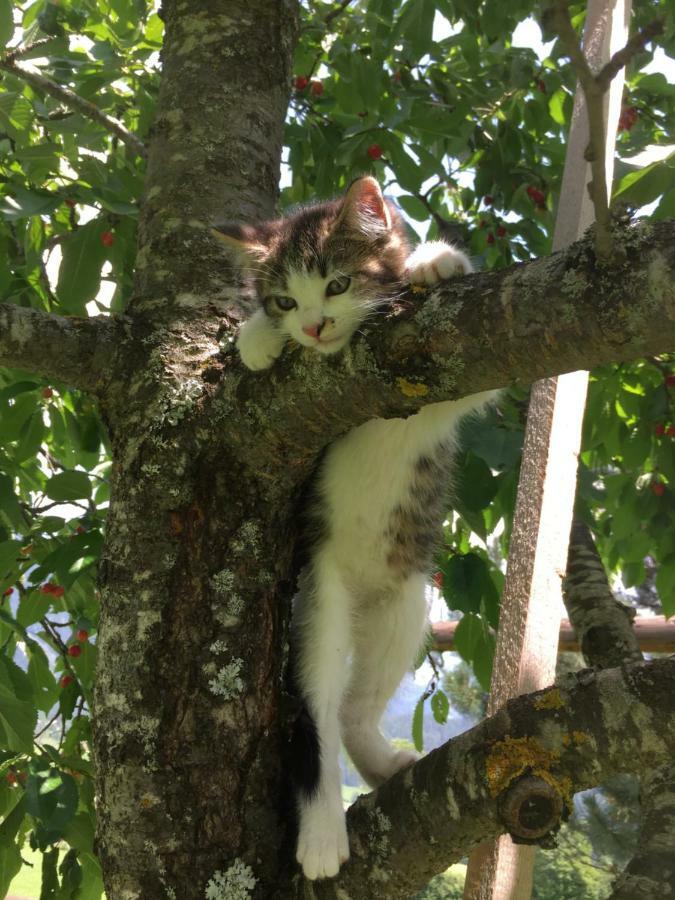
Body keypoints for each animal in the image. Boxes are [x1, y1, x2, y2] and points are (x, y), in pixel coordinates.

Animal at [214, 176, 494, 880]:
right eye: (286, 298)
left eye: (338, 284)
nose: (314, 325)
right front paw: (257, 337)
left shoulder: (446, 393)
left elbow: (473, 390)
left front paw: (436, 260)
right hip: (319, 593)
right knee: (317, 703)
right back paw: (321, 834)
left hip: (404, 595)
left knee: (353, 704)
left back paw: (378, 758)